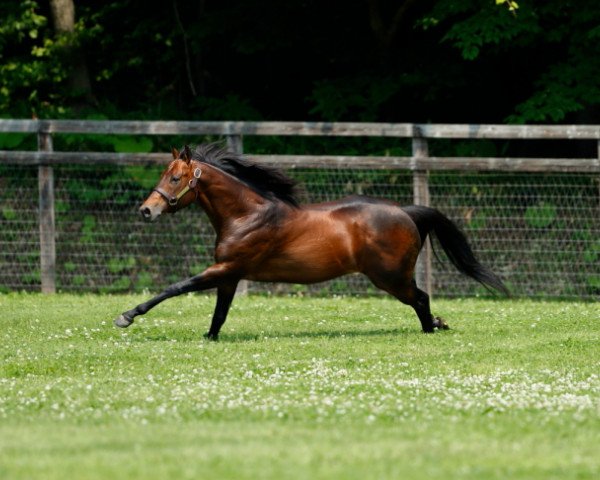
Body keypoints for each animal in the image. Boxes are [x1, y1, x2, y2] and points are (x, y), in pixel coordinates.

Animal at [115, 142, 508, 338]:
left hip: (390, 277)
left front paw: (127, 316)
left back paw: (431, 329)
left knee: (421, 298)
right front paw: (208, 339)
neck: (247, 215)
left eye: (176, 178)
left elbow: (175, 287)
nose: (146, 210)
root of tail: (407, 212)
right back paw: (438, 325)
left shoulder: (226, 267)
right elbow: (219, 314)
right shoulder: (230, 275)